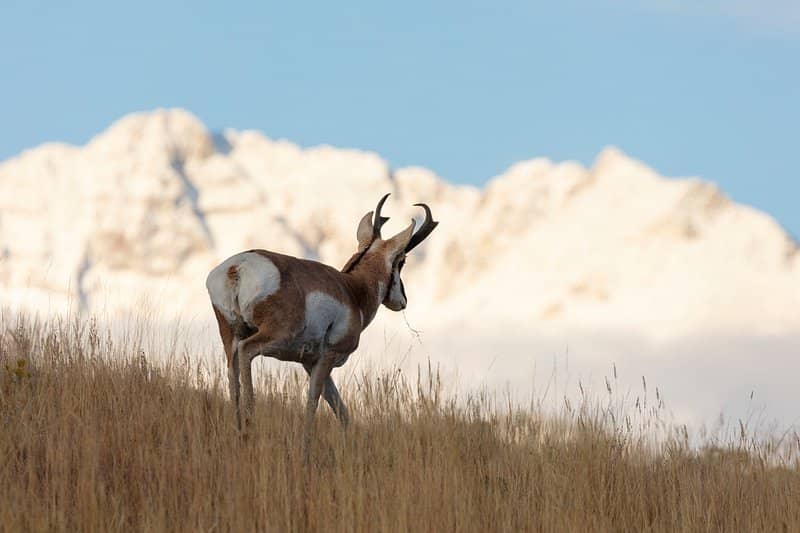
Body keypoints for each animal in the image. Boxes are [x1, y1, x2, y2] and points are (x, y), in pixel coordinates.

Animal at [206, 194, 438, 457]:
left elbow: (341, 410)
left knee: (232, 377)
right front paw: (305, 452)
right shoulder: (327, 358)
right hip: (273, 336)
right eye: (402, 261)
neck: (353, 290)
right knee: (247, 352)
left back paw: (238, 434)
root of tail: (238, 266)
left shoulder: (310, 363)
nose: (403, 301)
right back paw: (249, 429)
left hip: (229, 335)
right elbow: (312, 402)